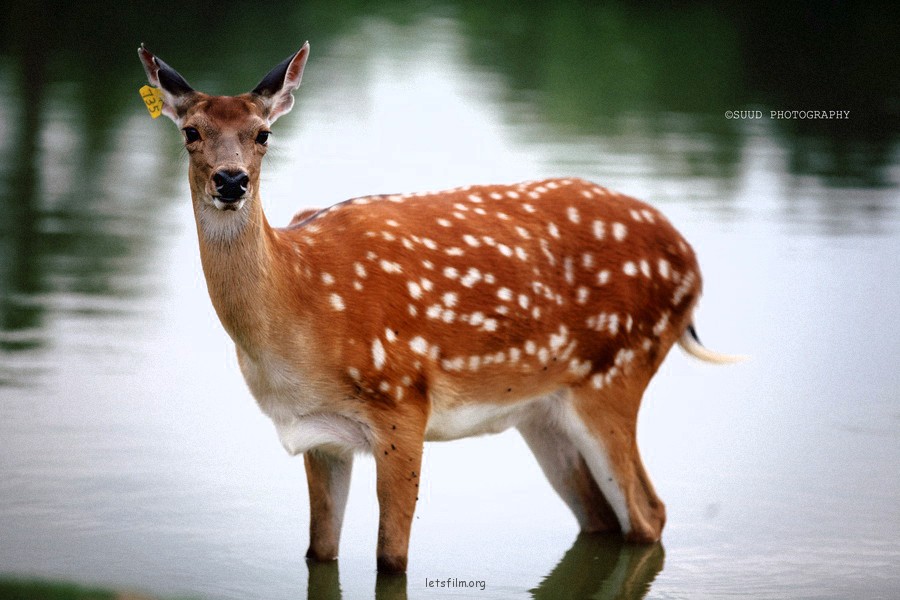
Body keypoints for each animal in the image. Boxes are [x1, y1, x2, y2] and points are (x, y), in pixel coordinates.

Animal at [138, 42, 743, 574]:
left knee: (648, 513)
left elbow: (392, 559)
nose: (231, 180)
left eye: (264, 134)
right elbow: (318, 553)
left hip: (616, 371)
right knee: (602, 520)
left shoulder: (404, 402)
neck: (299, 309)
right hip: (543, 411)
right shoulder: (322, 437)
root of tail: (691, 265)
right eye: (190, 132)